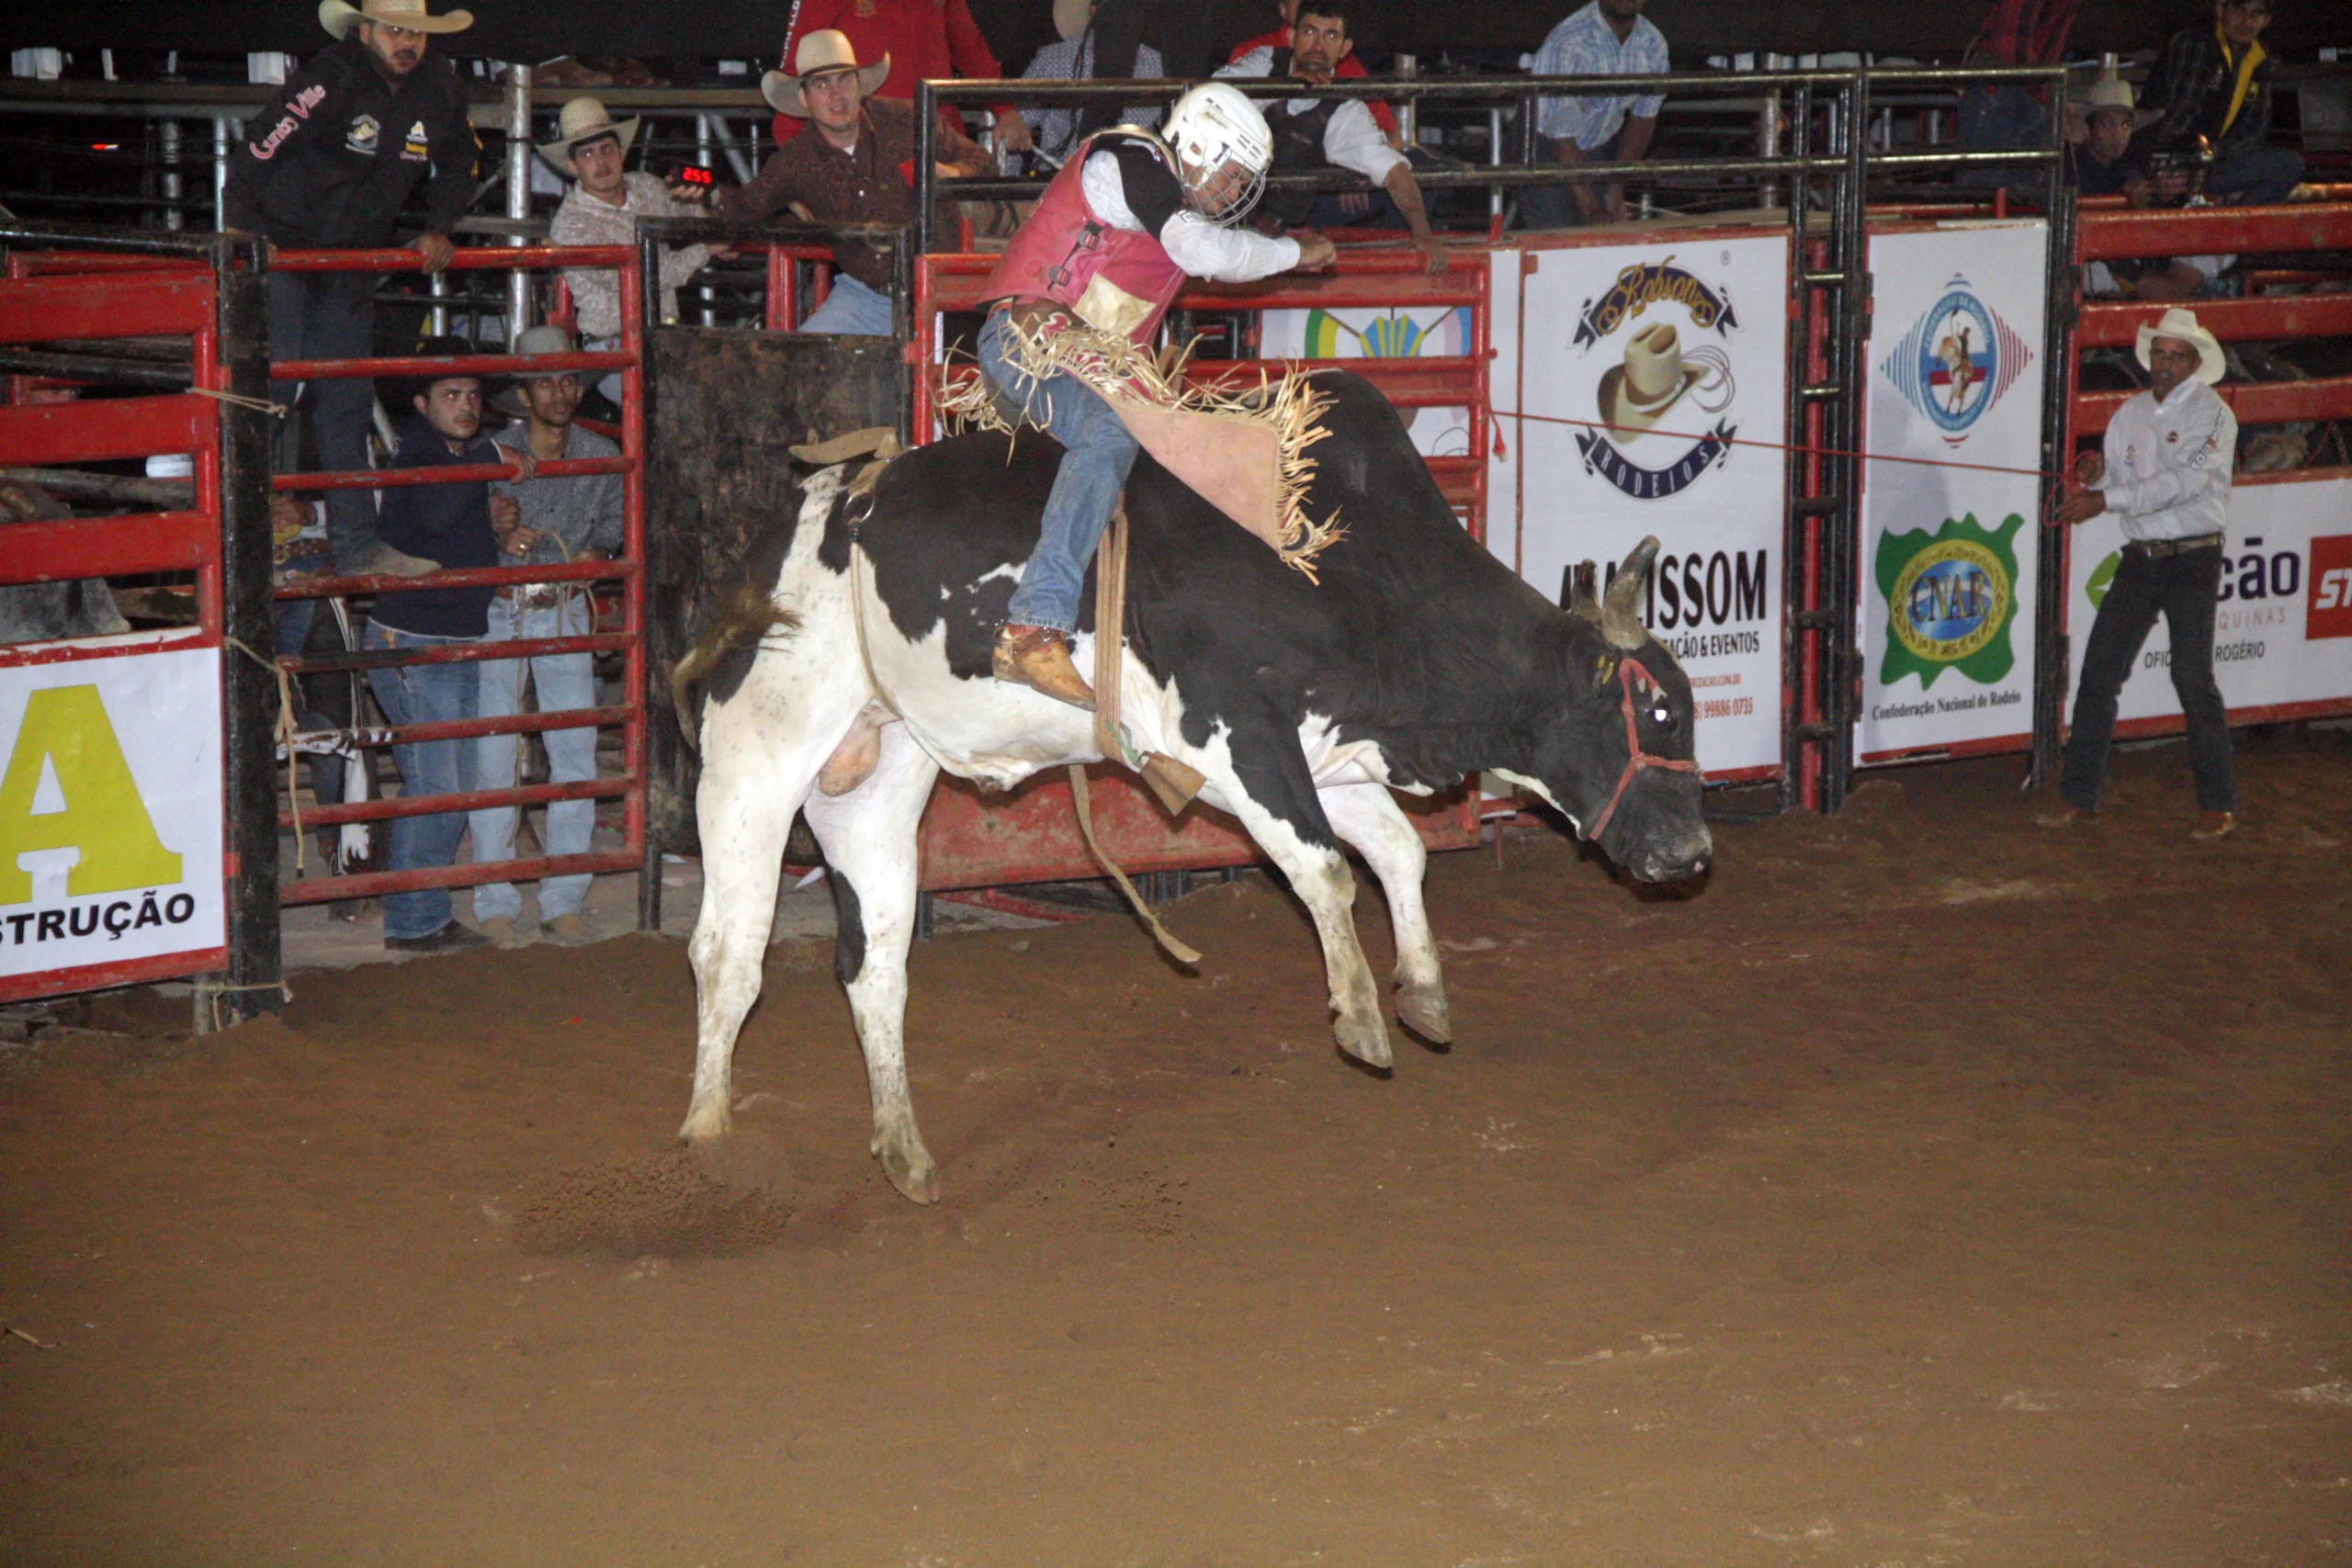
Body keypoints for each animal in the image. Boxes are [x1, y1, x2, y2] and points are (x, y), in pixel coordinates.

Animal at [673, 373, 1721, 1213]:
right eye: (1658, 712)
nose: (1694, 854)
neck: (1350, 571)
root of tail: (800, 523)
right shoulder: (1233, 736)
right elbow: (1323, 869)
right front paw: (1361, 1017)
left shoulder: (1326, 748)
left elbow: (1398, 850)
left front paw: (1421, 993)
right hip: (756, 758)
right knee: (728, 954)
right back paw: (707, 1147)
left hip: (877, 784)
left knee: (876, 962)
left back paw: (904, 1150)